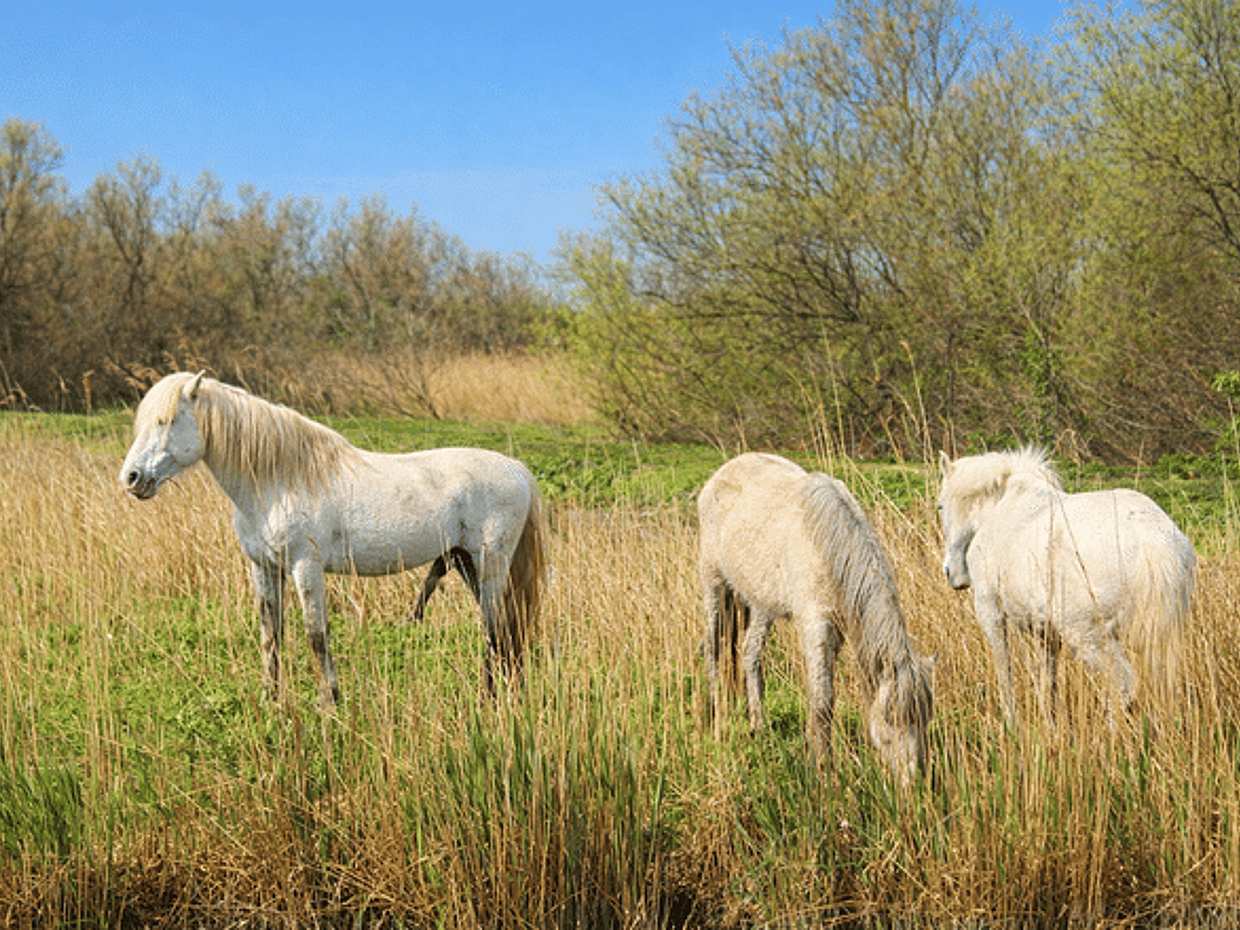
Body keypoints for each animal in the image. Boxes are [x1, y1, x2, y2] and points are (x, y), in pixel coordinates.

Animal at [119, 371, 545, 706]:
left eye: (167, 420)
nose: (132, 479)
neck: (280, 480)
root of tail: (519, 470)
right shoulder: (264, 568)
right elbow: (271, 635)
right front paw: (270, 701)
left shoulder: (305, 568)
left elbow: (316, 635)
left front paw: (329, 703)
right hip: (465, 562)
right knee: (504, 631)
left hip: (490, 564)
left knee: (493, 631)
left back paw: (487, 698)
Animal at [697, 452, 934, 784]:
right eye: (890, 721)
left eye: (926, 719)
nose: (915, 782)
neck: (827, 544)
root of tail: (720, 474)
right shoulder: (816, 627)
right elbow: (822, 702)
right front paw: (823, 770)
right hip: (714, 585)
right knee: (713, 650)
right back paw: (717, 717)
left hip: (760, 602)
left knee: (749, 653)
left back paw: (758, 725)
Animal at [937, 447, 1195, 724]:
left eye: (940, 505)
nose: (951, 572)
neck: (1001, 508)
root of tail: (1152, 542)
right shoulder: (1045, 632)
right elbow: (1047, 679)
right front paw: (1048, 723)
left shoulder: (990, 612)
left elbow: (1004, 669)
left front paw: (1011, 722)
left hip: (1088, 635)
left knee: (1123, 683)